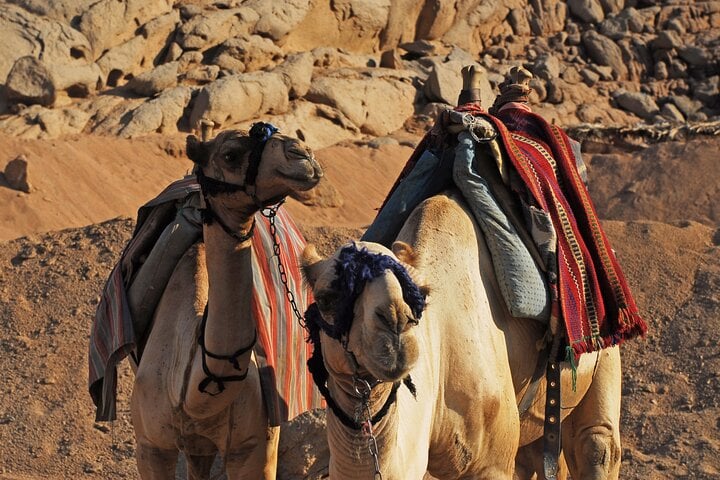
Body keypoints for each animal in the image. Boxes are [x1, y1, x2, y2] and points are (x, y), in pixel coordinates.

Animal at [302, 191, 622, 479]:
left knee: (596, 444)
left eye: (416, 295)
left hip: (604, 352)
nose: (394, 325)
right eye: (326, 299)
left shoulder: (492, 463)